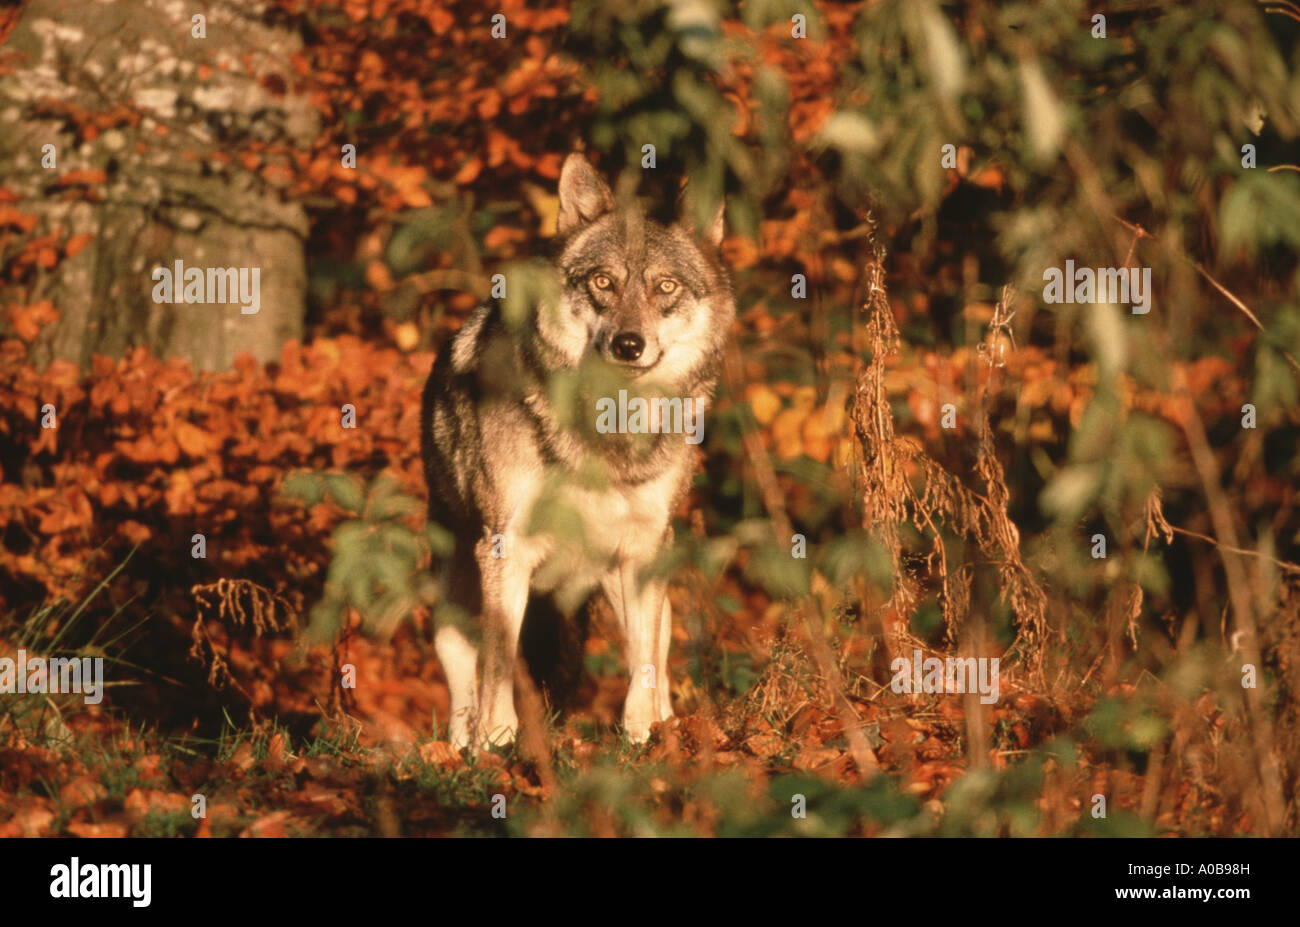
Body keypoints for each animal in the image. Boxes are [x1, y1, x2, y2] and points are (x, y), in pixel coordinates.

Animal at [420, 152, 734, 751]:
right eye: (602, 282)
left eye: (665, 286)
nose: (629, 344)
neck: (606, 425)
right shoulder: (505, 548)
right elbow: (500, 661)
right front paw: (497, 745)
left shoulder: (643, 549)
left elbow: (642, 662)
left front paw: (643, 737)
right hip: (454, 600)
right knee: (464, 671)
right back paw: (458, 749)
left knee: (655, 653)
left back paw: (670, 727)